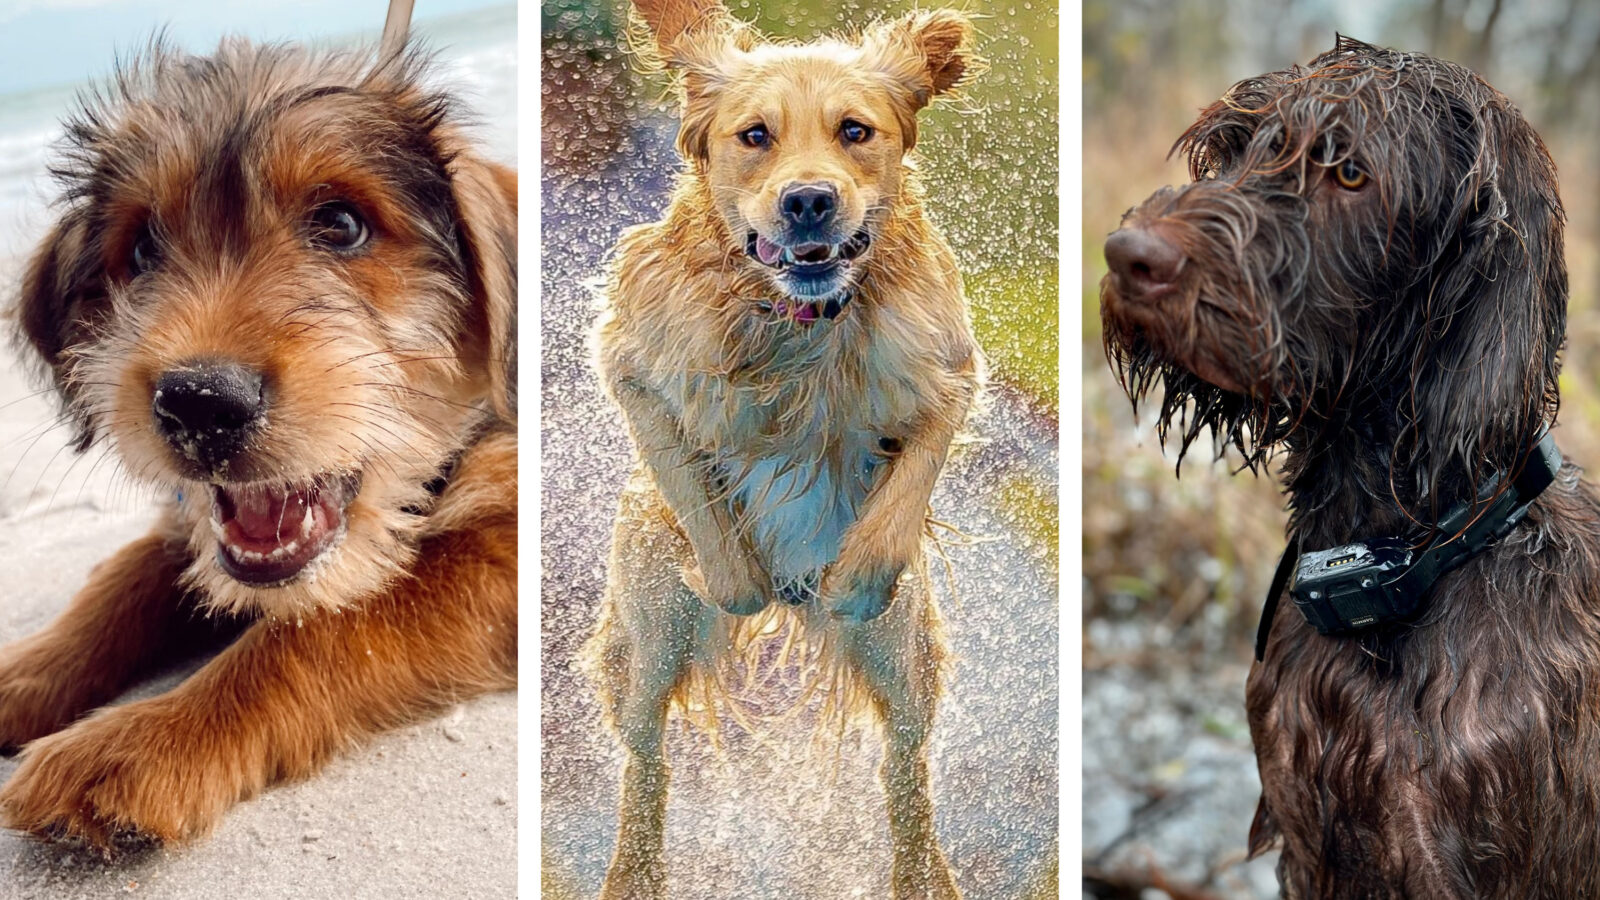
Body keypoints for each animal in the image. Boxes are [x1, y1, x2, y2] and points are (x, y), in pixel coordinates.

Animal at [0, 38, 515, 845]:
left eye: (342, 225)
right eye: (142, 250)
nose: (199, 404)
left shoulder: (501, 550)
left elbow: (321, 628)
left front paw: (145, 737)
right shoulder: (187, 523)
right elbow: (124, 577)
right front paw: (28, 668)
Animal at [592, 1, 979, 896]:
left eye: (855, 130)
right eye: (755, 135)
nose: (807, 202)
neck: (799, 319)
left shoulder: (947, 369)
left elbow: (903, 493)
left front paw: (851, 579)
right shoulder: (633, 366)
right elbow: (714, 534)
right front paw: (736, 574)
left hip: (907, 661)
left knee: (904, 765)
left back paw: (925, 873)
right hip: (650, 639)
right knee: (645, 756)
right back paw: (634, 868)